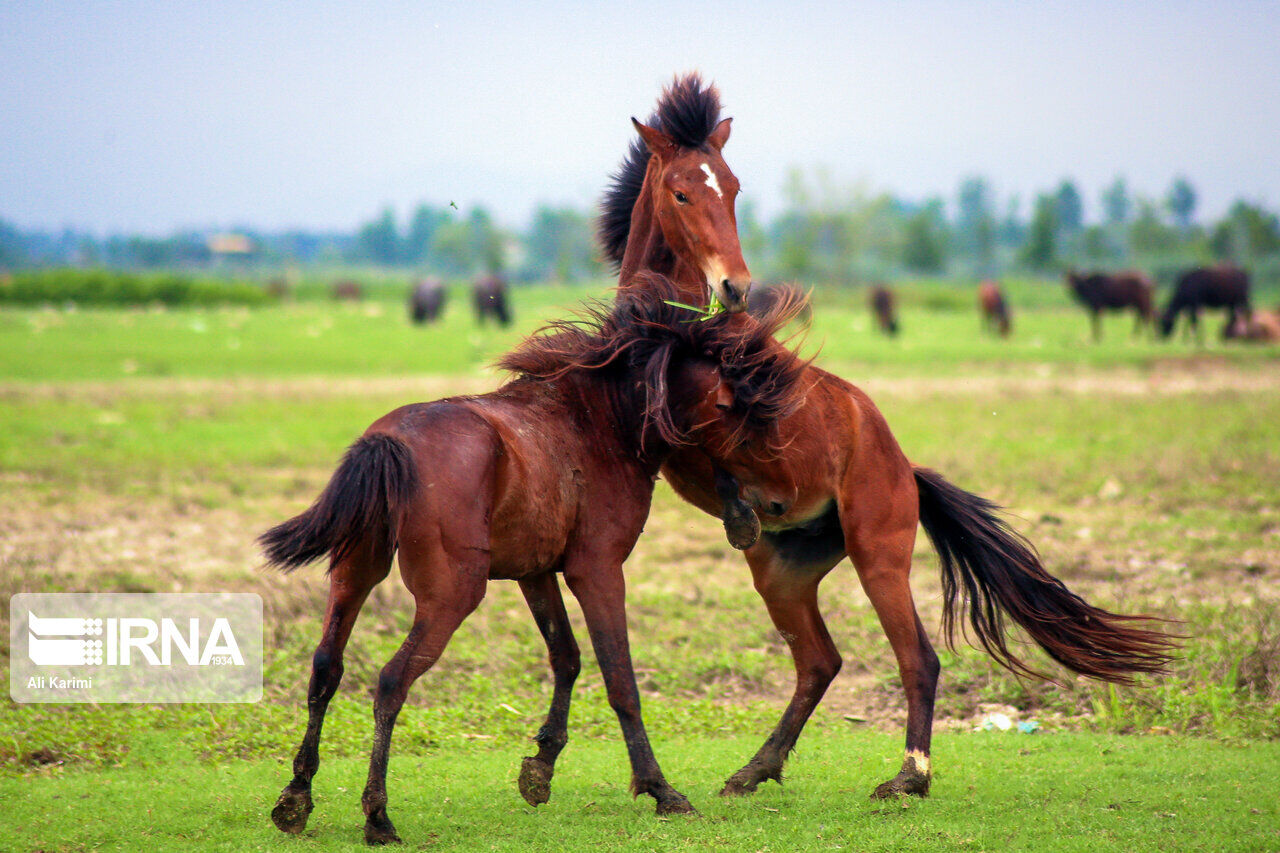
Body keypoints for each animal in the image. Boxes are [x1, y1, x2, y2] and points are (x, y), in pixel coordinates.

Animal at [262, 275, 798, 840]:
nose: (773, 505)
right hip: (452, 594)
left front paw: (540, 767)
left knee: (326, 668)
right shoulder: (597, 571)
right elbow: (620, 681)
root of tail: (389, 441)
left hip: (355, 574)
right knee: (390, 680)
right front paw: (659, 789)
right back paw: (378, 815)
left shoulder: (535, 573)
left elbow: (567, 657)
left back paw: (296, 797)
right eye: (731, 408)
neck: (596, 423)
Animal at [593, 71, 1172, 799]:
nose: (736, 287)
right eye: (680, 191)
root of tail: (906, 468)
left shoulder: (742, 416)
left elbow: (714, 427)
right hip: (783, 574)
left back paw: (908, 776)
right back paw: (757, 768)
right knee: (820, 662)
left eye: (733, 187)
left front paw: (735, 488)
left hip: (878, 554)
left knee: (917, 658)